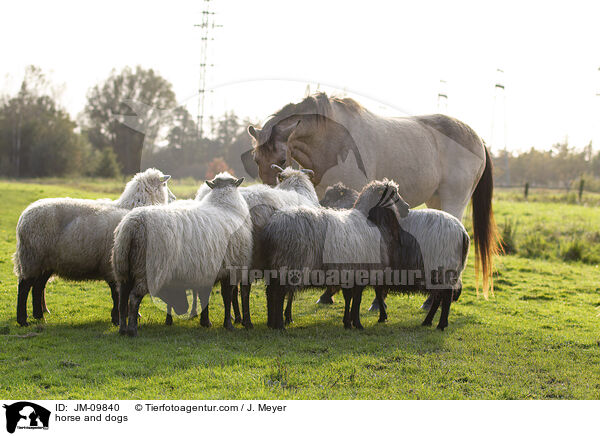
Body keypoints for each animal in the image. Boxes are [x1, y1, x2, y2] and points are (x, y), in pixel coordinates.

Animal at [12, 169, 175, 326]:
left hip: (46, 262)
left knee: (38, 286)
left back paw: (39, 316)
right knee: (24, 286)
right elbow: (117, 294)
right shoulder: (113, 266)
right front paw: (117, 318)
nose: (174, 199)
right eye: (165, 184)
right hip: (32, 257)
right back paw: (23, 320)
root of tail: (23, 215)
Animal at [113, 174, 252, 338]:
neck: (226, 206)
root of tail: (133, 225)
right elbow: (227, 296)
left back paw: (122, 329)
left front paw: (205, 322)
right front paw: (228, 325)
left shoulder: (207, 270)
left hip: (123, 267)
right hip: (147, 270)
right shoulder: (230, 269)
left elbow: (205, 296)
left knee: (122, 298)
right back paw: (132, 330)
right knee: (134, 298)